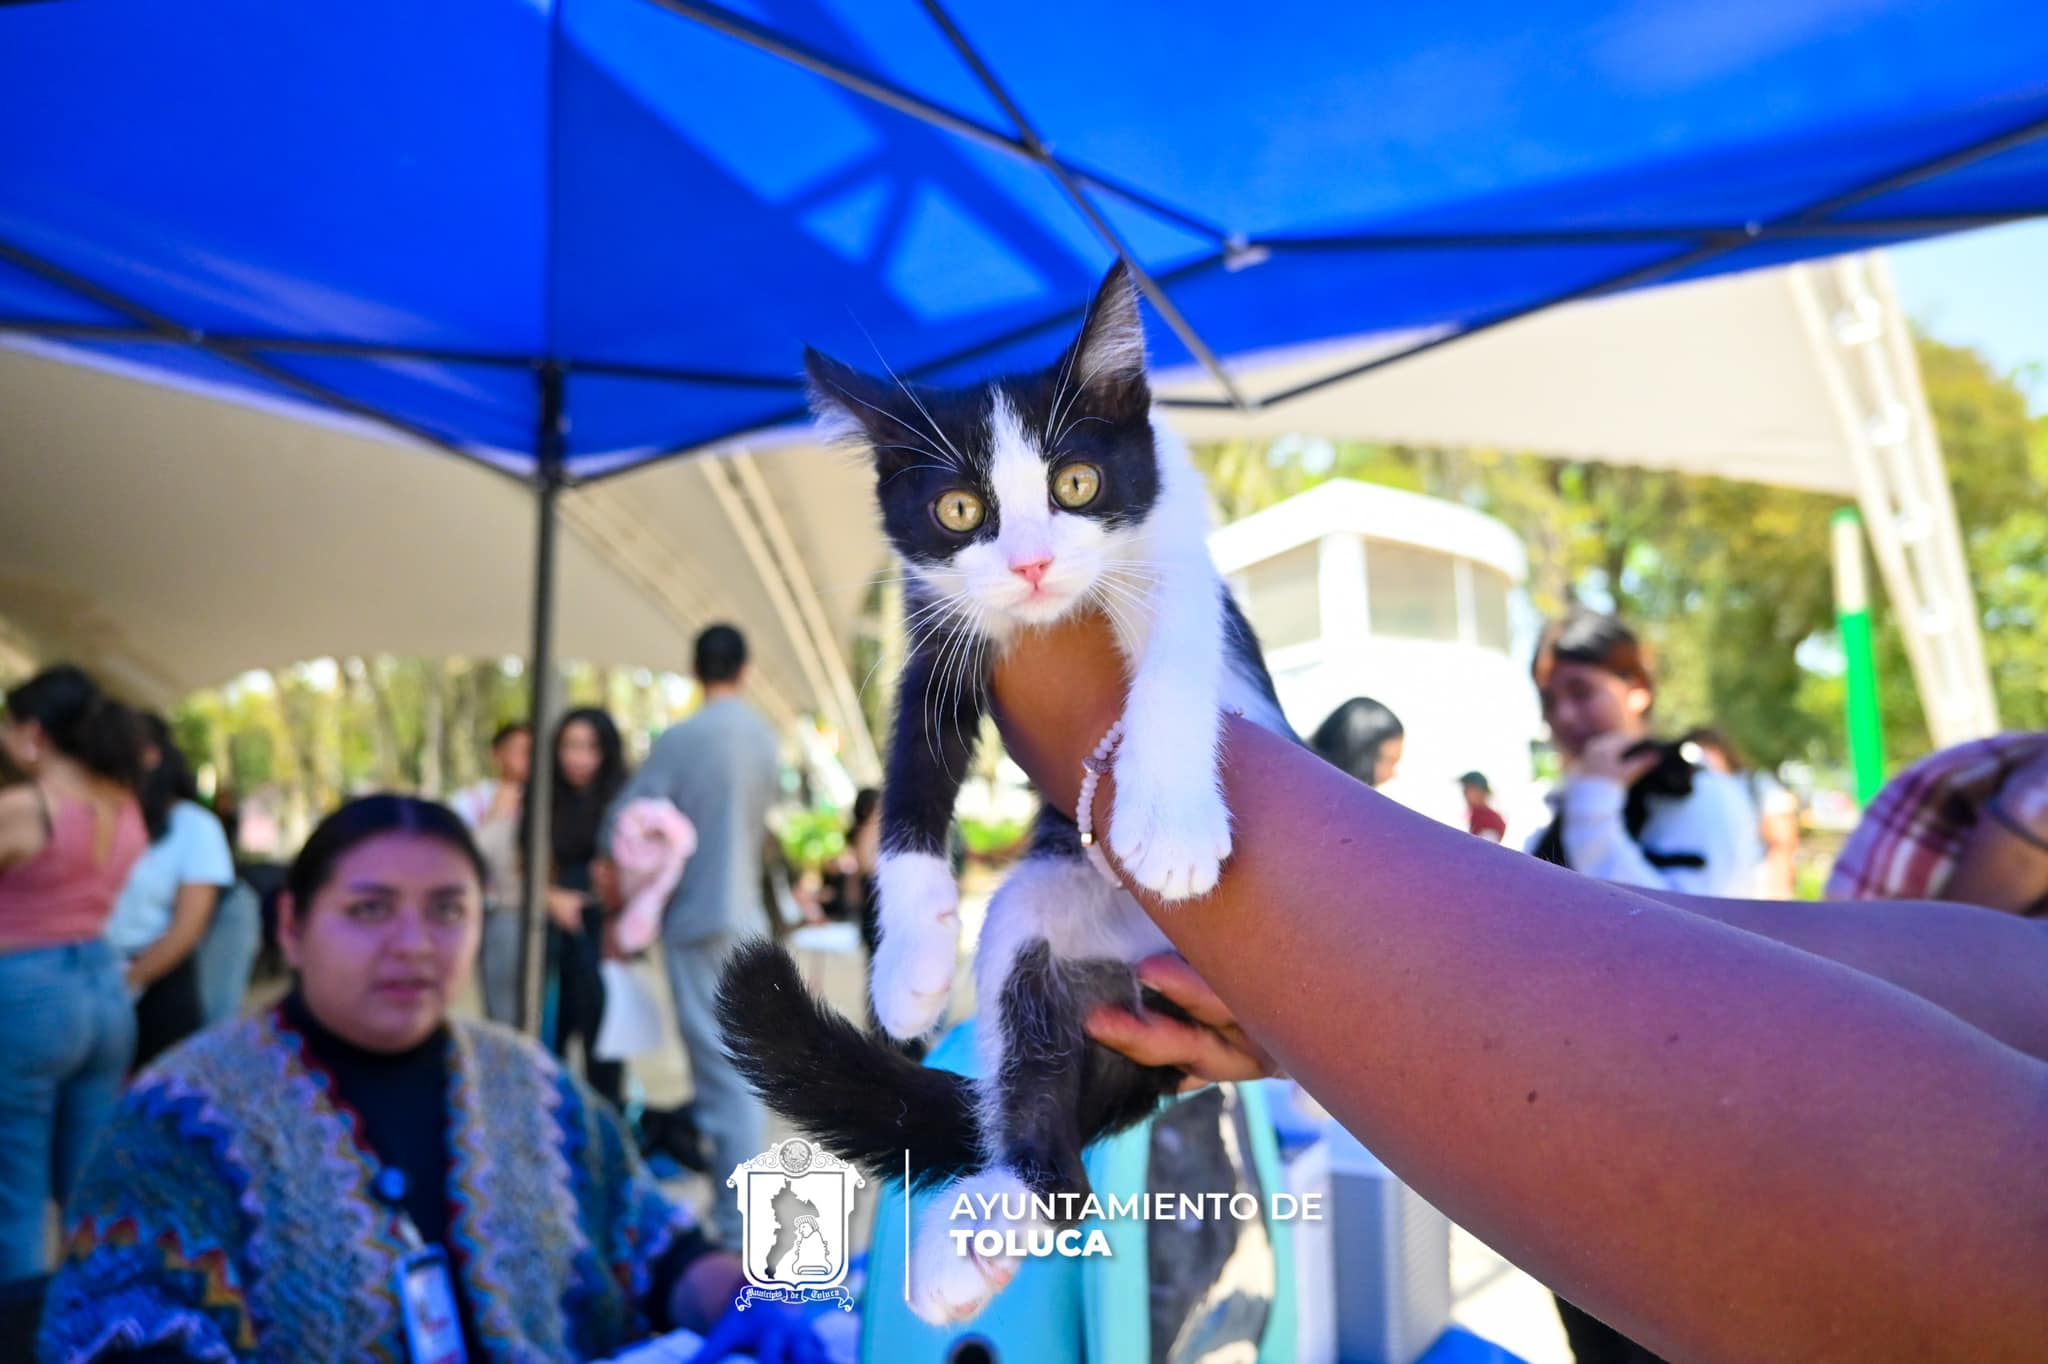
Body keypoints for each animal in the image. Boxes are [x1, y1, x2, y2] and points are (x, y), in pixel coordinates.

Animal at [720, 260, 1286, 1318]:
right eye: (957, 511)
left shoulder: (1182, 571)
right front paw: (908, 963)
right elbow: (909, 776)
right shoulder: (934, 633)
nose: (1029, 562)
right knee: (1048, 1118)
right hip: (1036, 918)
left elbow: (1177, 661)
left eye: (1076, 484)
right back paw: (994, 1215)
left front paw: (1167, 822)